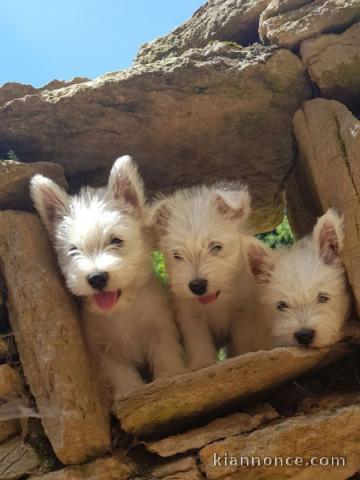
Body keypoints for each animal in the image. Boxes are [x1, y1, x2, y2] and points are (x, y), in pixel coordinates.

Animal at [30, 156, 186, 400]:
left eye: (116, 240)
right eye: (73, 250)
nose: (96, 278)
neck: (122, 311)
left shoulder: (160, 327)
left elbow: (164, 353)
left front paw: (170, 376)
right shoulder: (103, 348)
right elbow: (119, 371)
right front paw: (129, 390)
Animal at [148, 182, 252, 370]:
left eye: (216, 247)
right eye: (177, 255)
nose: (197, 286)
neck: (218, 300)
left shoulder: (242, 311)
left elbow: (243, 339)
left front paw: (244, 355)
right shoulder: (190, 315)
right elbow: (199, 341)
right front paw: (201, 364)